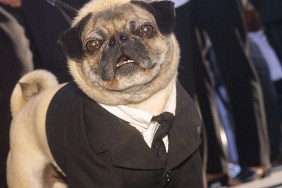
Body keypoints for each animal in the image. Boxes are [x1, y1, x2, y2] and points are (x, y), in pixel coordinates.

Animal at [6, 0, 204, 187]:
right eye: (92, 45)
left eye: (146, 30)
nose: (118, 39)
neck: (143, 106)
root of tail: (23, 107)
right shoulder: (94, 174)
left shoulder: (189, 168)